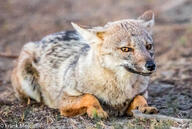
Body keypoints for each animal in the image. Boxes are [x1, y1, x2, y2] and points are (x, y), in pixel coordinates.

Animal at [11, 10, 158, 118]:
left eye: (149, 46)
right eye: (126, 49)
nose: (151, 66)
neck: (119, 89)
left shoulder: (140, 95)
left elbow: (139, 97)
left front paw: (145, 107)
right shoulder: (63, 101)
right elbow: (89, 96)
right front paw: (97, 111)